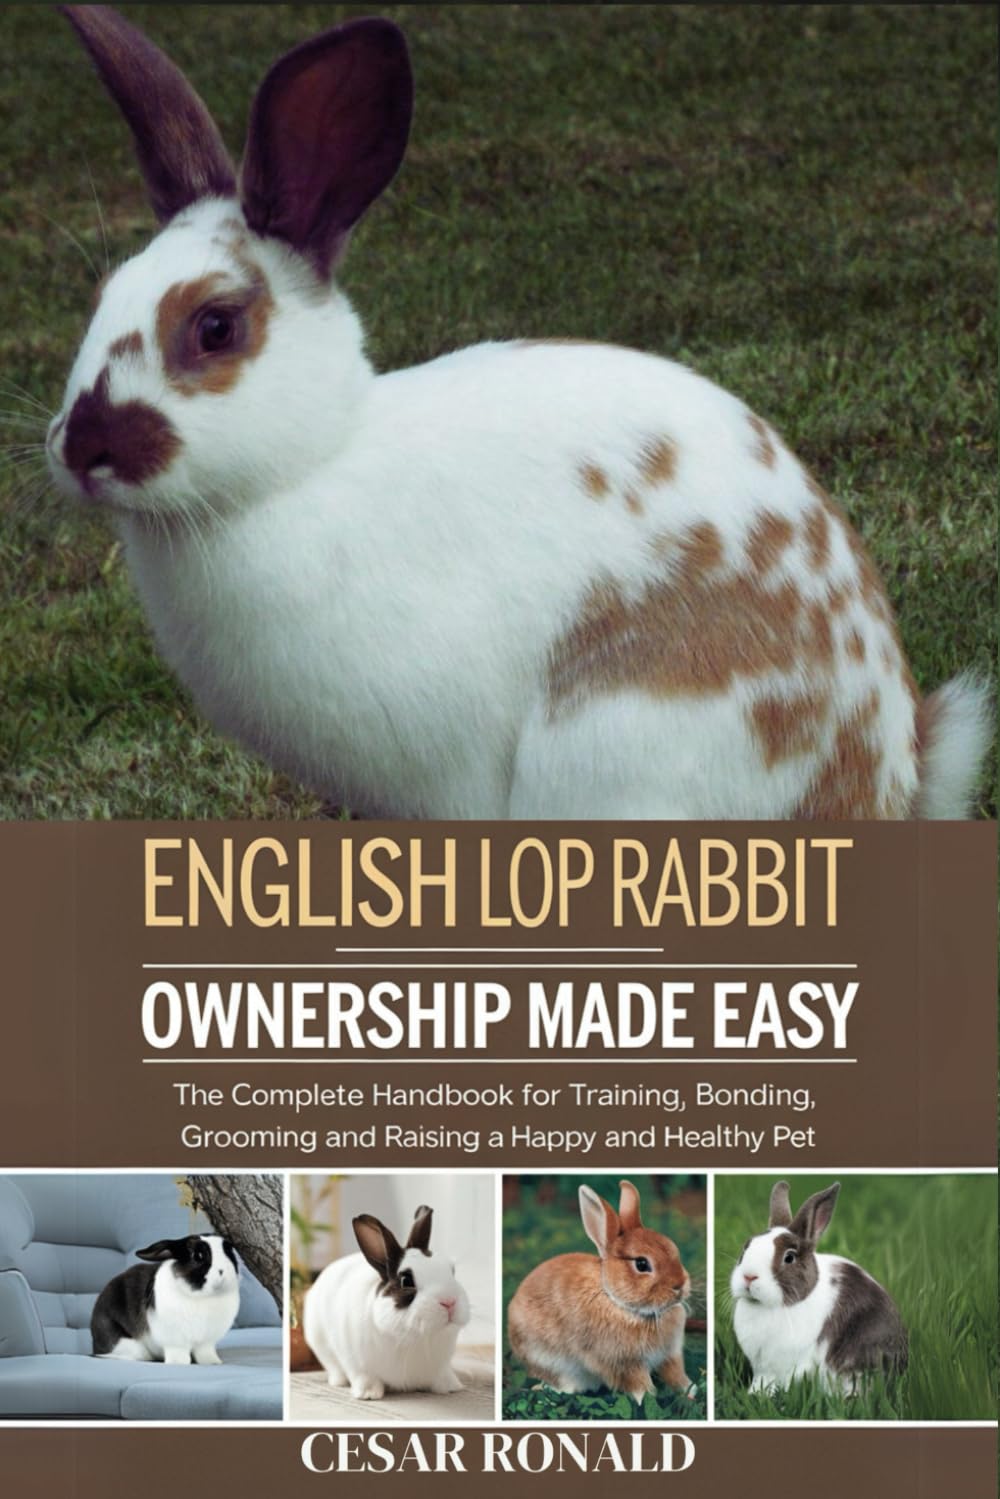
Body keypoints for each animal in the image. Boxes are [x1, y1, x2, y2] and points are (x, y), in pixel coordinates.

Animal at [91, 1234, 240, 1365]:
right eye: (198, 1256)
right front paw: (178, 1362)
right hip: (125, 1343)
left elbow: (205, 1353)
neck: (202, 1295)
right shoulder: (174, 1340)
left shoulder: (206, 1342)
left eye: (229, 1253)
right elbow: (179, 1353)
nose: (223, 1271)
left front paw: (213, 1362)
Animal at [303, 1204, 470, 1400]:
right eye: (406, 1281)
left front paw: (451, 1387)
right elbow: (364, 1377)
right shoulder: (357, 1363)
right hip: (321, 1344)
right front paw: (368, 1394)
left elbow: (443, 1375)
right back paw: (339, 1382)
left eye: (452, 1271)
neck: (414, 1338)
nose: (449, 1302)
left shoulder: (441, 1366)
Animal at [508, 1179, 695, 1404]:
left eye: (673, 1248)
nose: (680, 1285)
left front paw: (690, 1392)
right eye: (641, 1264)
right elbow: (639, 1385)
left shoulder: (670, 1355)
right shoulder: (623, 1363)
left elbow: (676, 1375)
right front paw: (644, 1399)